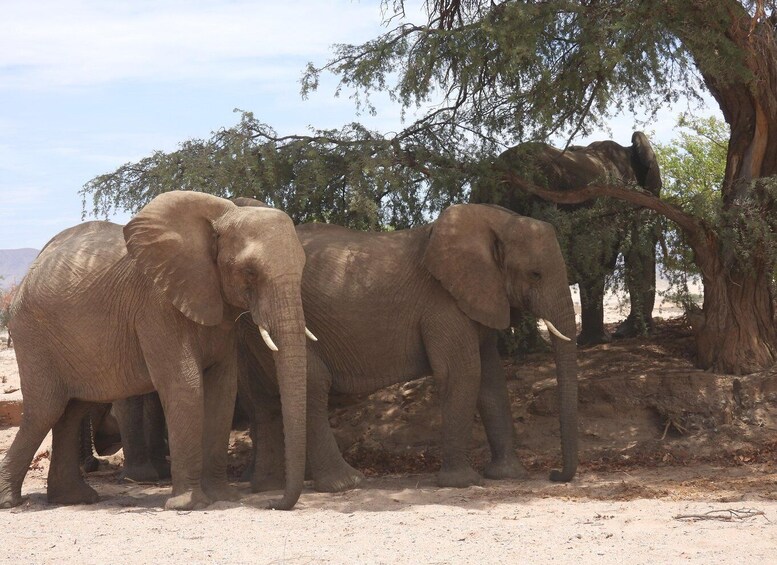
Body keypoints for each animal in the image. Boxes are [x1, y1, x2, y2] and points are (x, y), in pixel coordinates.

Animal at [0, 190, 309, 511]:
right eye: (249, 272)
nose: (272, 503)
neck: (223, 213)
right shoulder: (156, 306)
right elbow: (185, 384)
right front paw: (188, 505)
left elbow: (222, 389)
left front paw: (223, 497)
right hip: (33, 335)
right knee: (45, 410)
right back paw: (11, 501)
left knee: (72, 409)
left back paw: (75, 499)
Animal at [237, 202, 577, 493]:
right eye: (535, 274)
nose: (554, 474)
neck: (493, 221)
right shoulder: (442, 303)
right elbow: (462, 374)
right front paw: (461, 483)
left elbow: (492, 381)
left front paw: (508, 475)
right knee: (312, 383)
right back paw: (342, 484)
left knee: (266, 399)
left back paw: (274, 485)